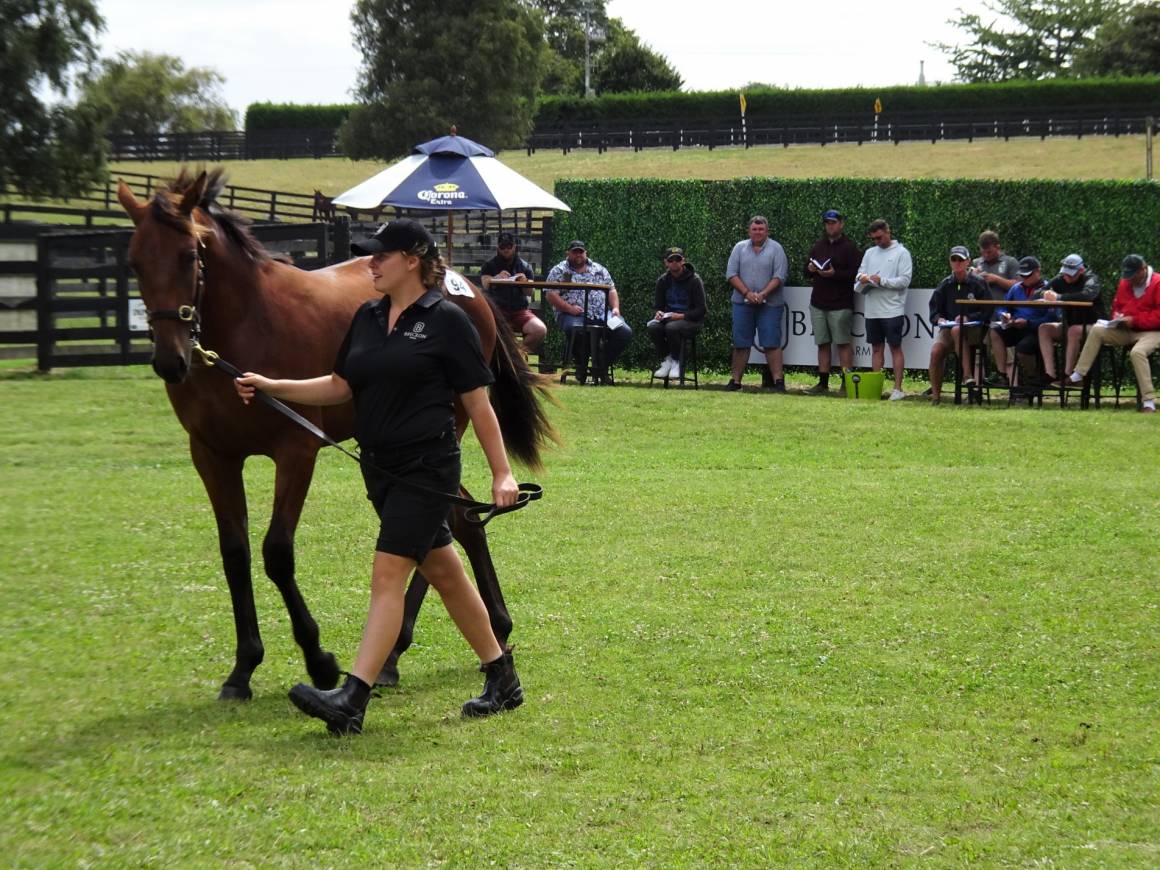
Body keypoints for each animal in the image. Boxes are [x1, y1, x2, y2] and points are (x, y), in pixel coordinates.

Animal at [117, 168, 552, 700]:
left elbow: (277, 553)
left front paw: (319, 661)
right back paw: (473, 634)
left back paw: (405, 650)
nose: (170, 360)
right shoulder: (212, 456)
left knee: (446, 524)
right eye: (134, 261)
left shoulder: (296, 451)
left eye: (188, 255)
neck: (247, 322)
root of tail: (465, 285)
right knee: (460, 523)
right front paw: (242, 670)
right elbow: (235, 554)